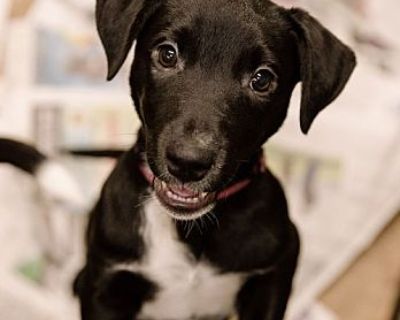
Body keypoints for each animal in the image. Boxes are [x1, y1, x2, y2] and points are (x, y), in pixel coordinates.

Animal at [73, 0, 354, 320]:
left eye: (262, 79)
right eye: (167, 54)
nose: (188, 163)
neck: (192, 229)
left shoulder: (276, 270)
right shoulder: (106, 284)